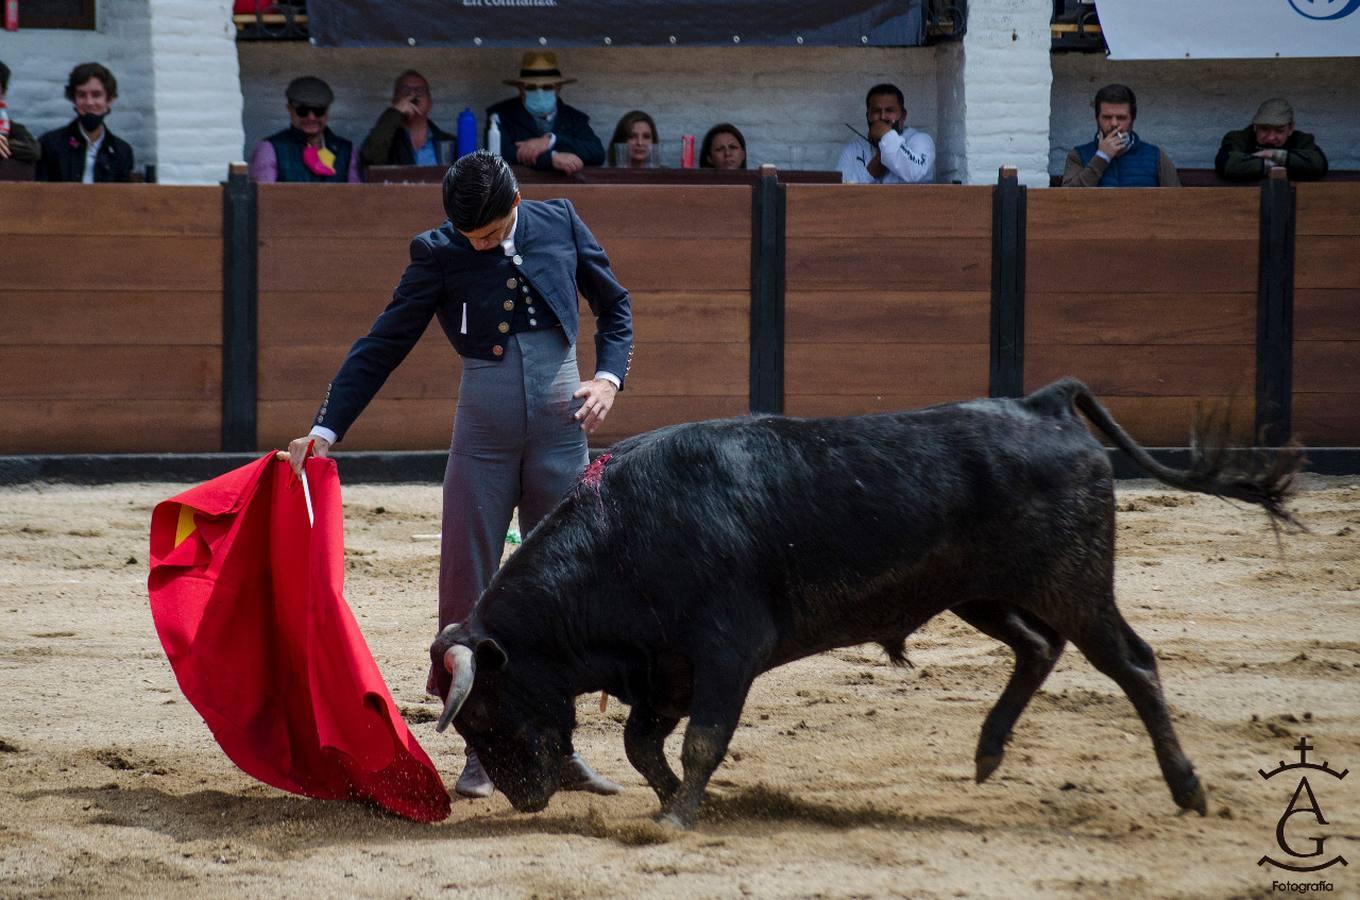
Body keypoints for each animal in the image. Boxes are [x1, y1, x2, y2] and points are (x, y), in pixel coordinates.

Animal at [427, 377, 1294, 826]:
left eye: (484, 710)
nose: (524, 798)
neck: (624, 533)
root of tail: (1041, 404)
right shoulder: (664, 668)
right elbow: (646, 746)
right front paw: (676, 802)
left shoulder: (725, 652)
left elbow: (703, 739)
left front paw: (677, 814)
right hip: (979, 593)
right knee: (1038, 647)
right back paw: (987, 754)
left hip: (1075, 585)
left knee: (1133, 665)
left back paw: (1188, 789)